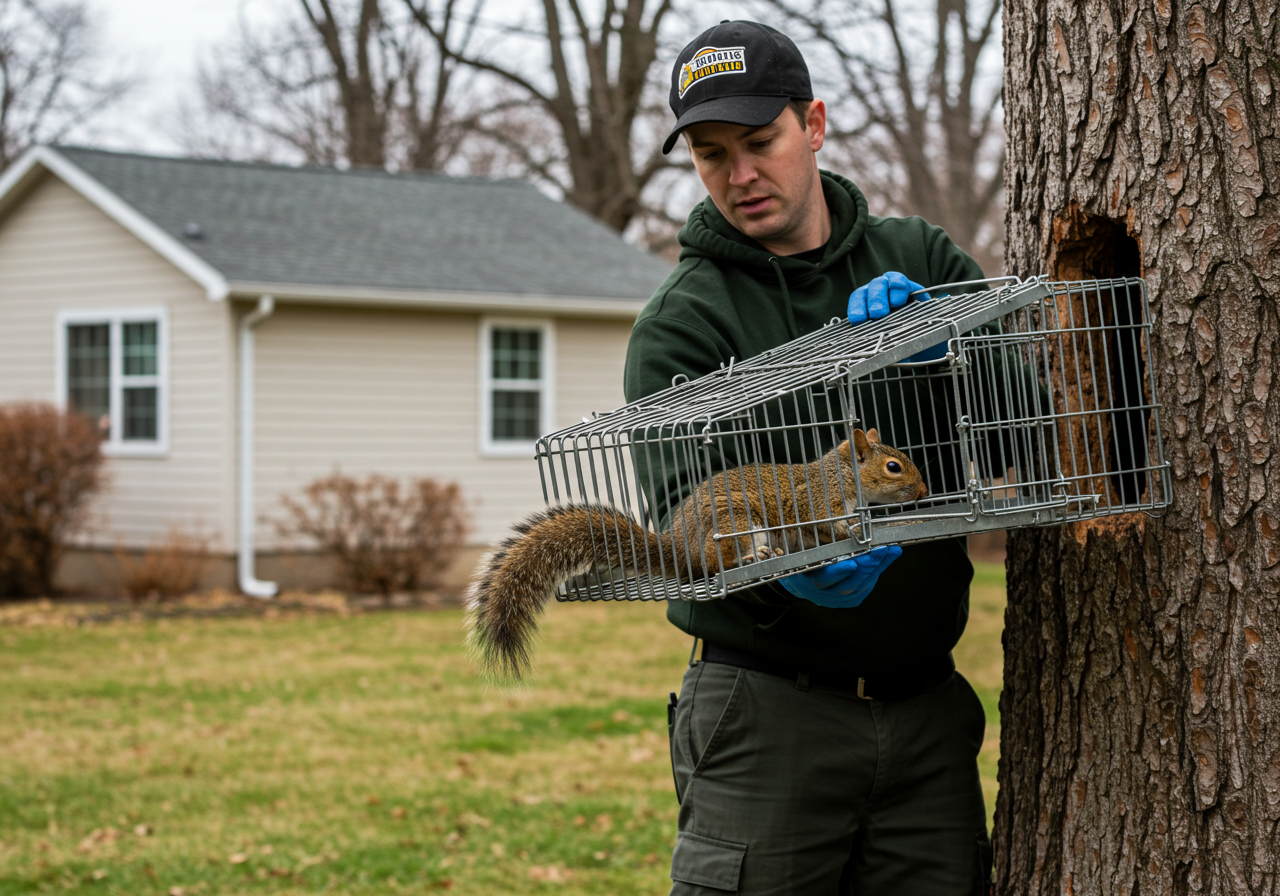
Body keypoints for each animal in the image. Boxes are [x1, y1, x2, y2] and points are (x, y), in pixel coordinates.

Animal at [466, 428, 927, 681]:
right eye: (893, 467)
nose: (923, 492)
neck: (843, 476)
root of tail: (681, 549)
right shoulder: (811, 503)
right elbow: (823, 523)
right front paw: (853, 528)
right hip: (736, 523)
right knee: (718, 562)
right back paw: (754, 557)